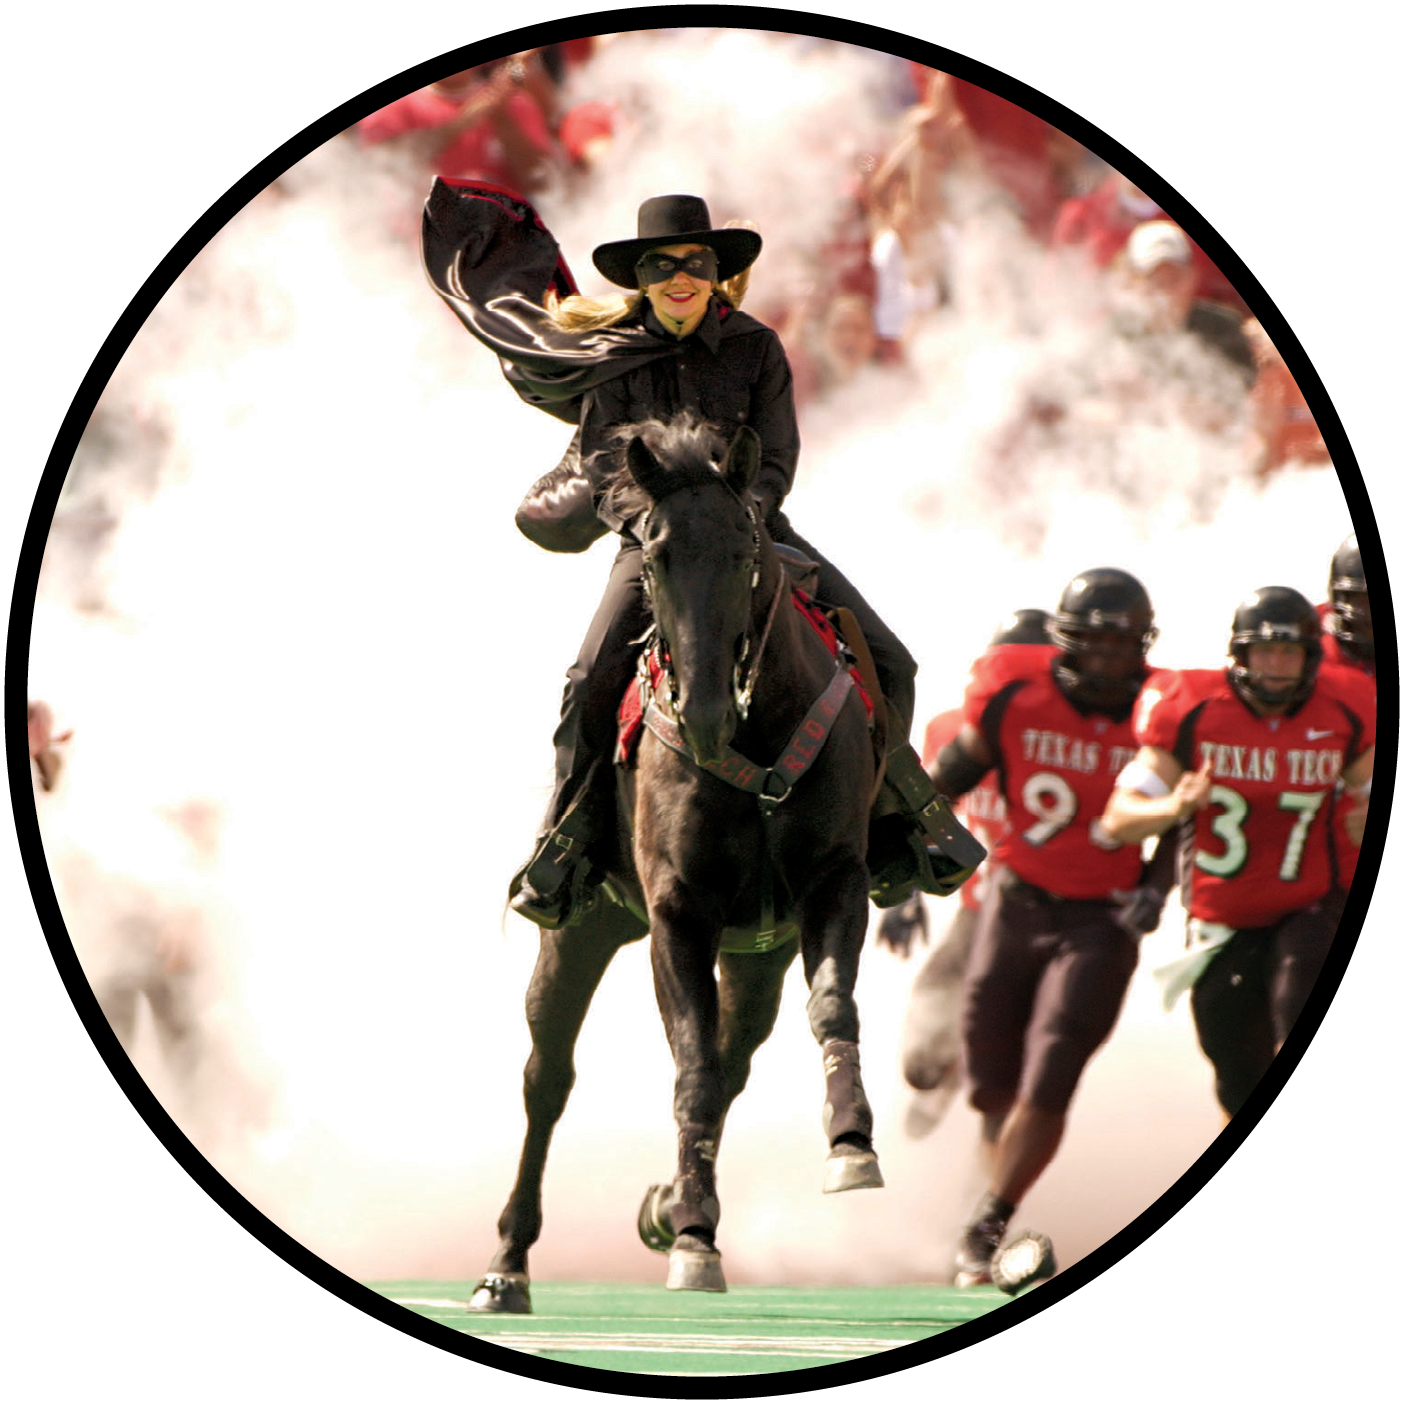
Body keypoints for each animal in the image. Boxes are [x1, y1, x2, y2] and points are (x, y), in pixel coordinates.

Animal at [477, 412, 881, 1302]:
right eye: (656, 553)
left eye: (743, 548)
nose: (700, 713)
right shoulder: (678, 916)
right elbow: (691, 1067)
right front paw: (696, 1237)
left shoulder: (833, 882)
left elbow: (829, 1007)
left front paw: (850, 1145)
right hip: (580, 932)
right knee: (546, 1078)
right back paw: (508, 1264)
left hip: (757, 956)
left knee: (736, 1055)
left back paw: (663, 1203)